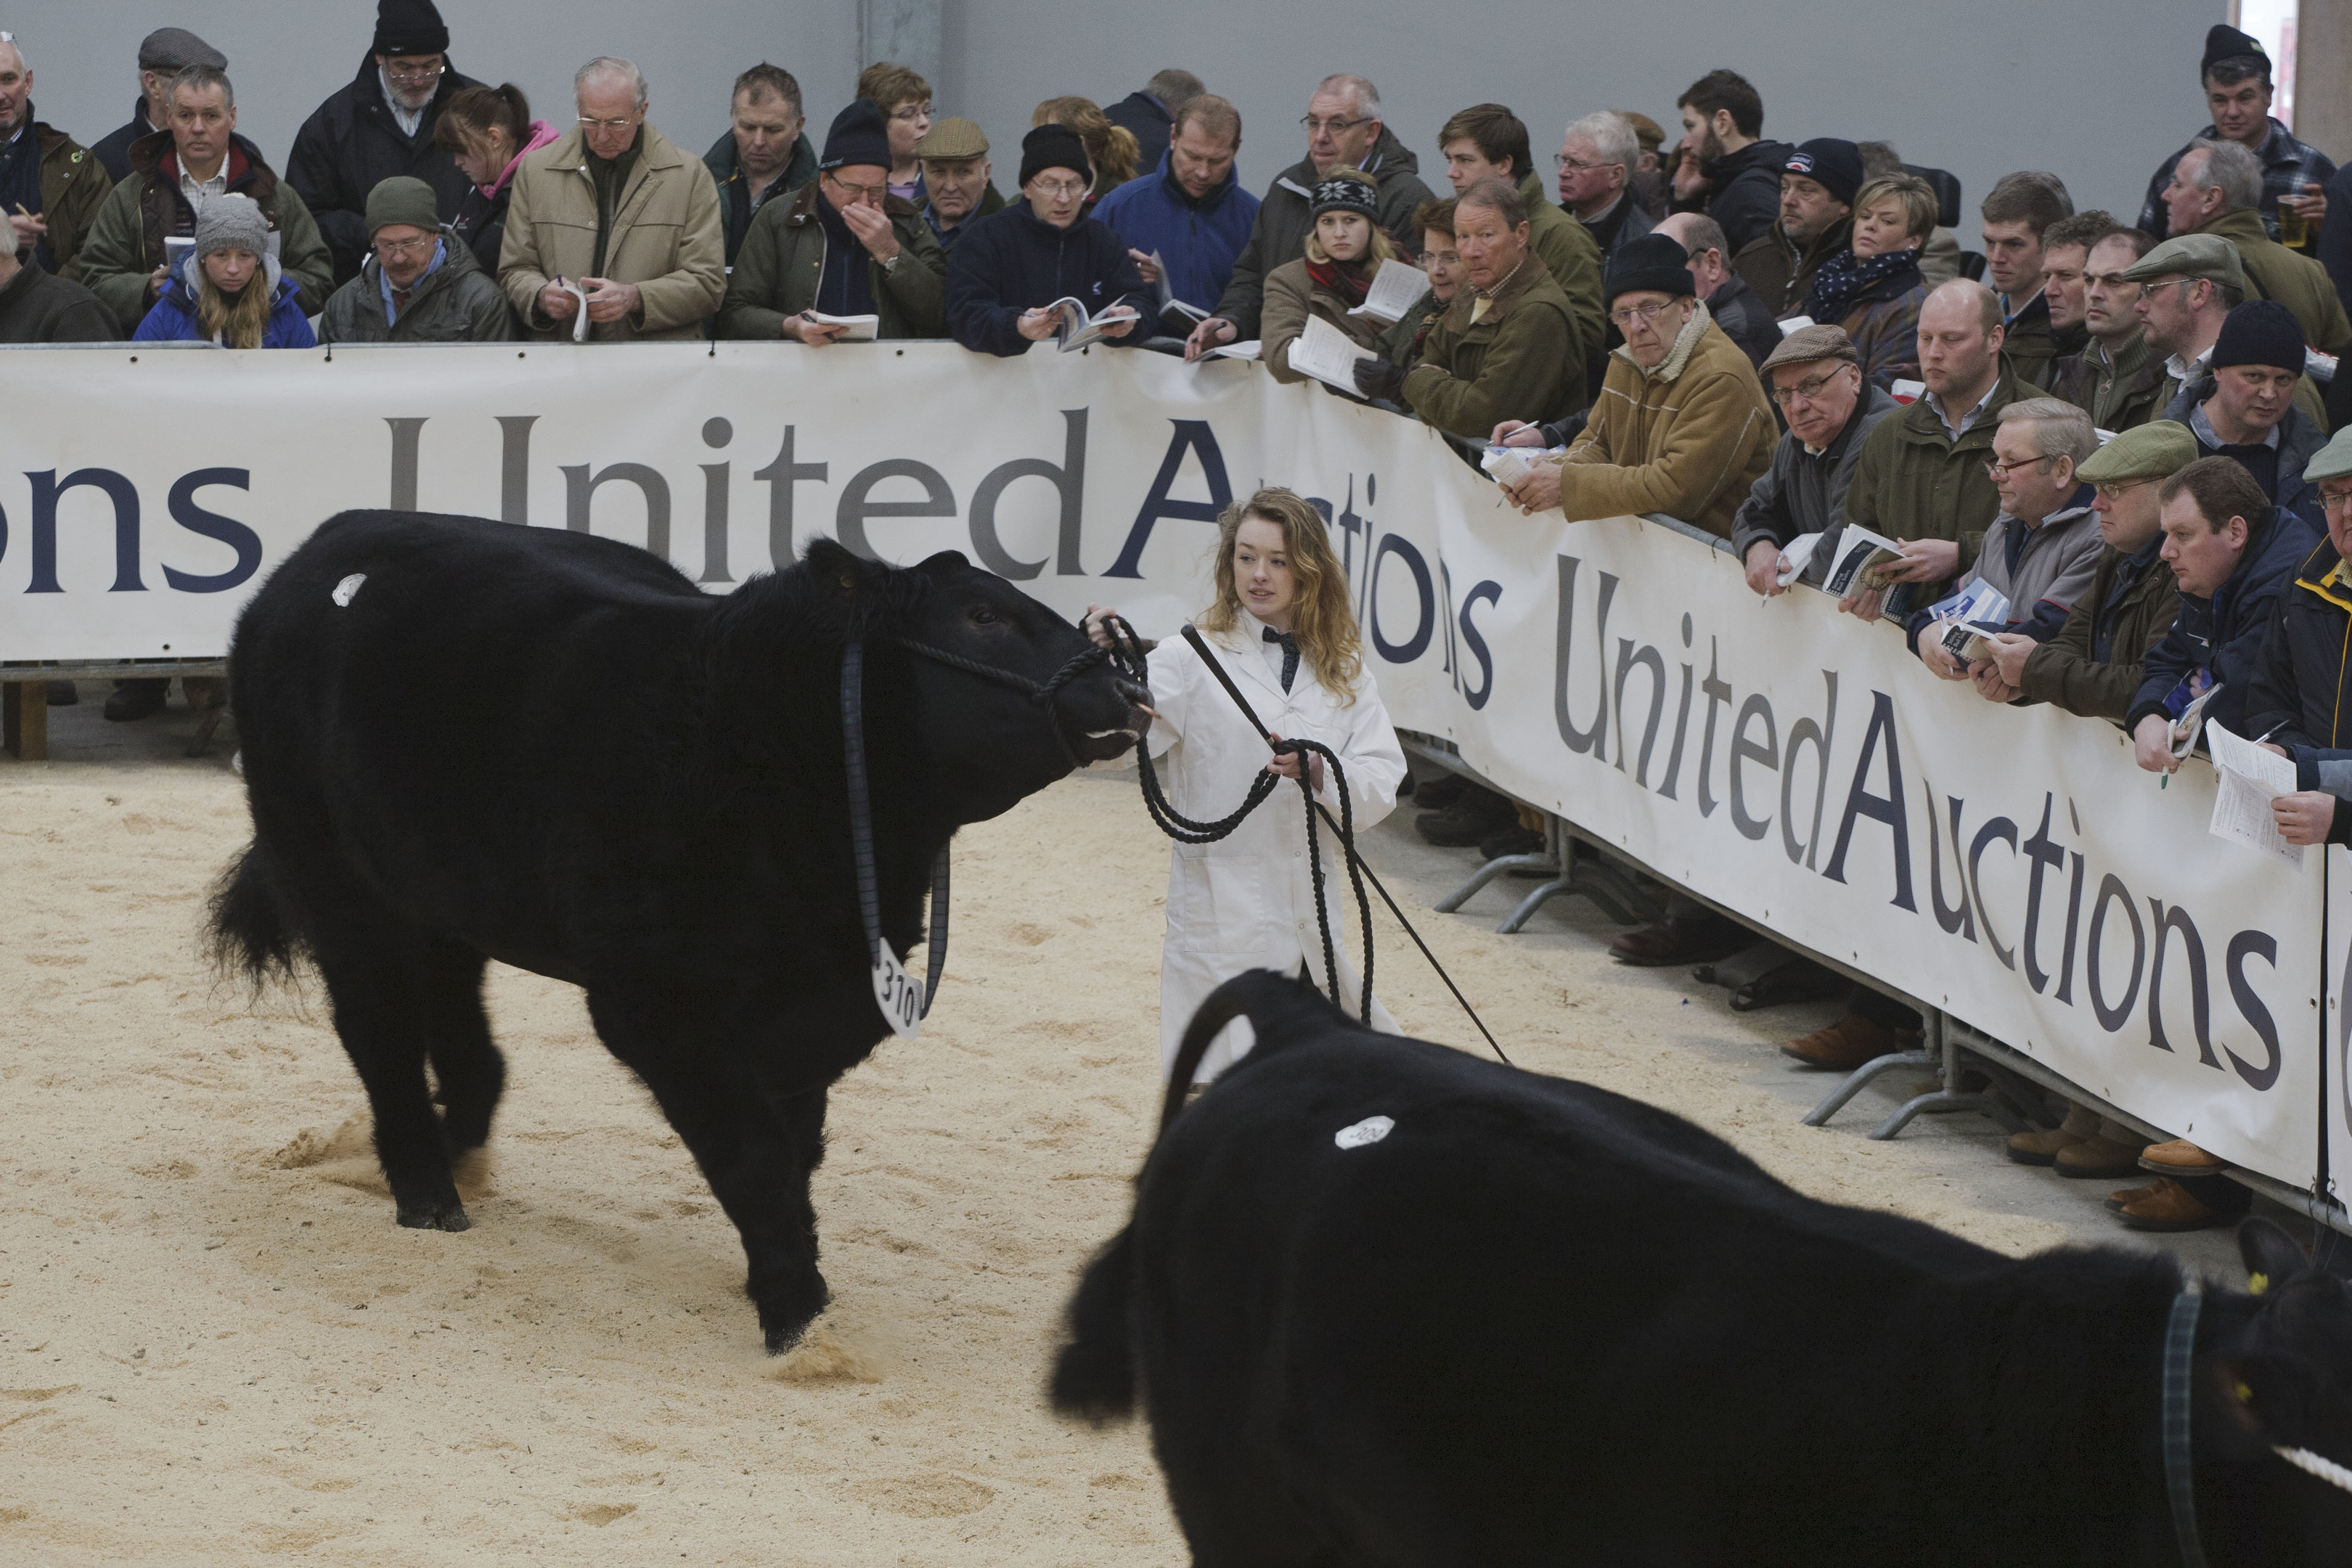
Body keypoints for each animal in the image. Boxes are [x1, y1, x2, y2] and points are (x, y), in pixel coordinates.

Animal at [211, 512, 1148, 1354]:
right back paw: (426, 1191)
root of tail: (323, 548)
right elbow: (752, 1153)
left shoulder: (820, 1005)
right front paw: (796, 1315)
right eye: (981, 616)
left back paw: (458, 1153)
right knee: (379, 1028)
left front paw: (786, 1278)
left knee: (461, 1026)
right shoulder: (658, 1003)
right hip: (328, 870)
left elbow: (794, 1149)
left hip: (440, 890)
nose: (1124, 690)